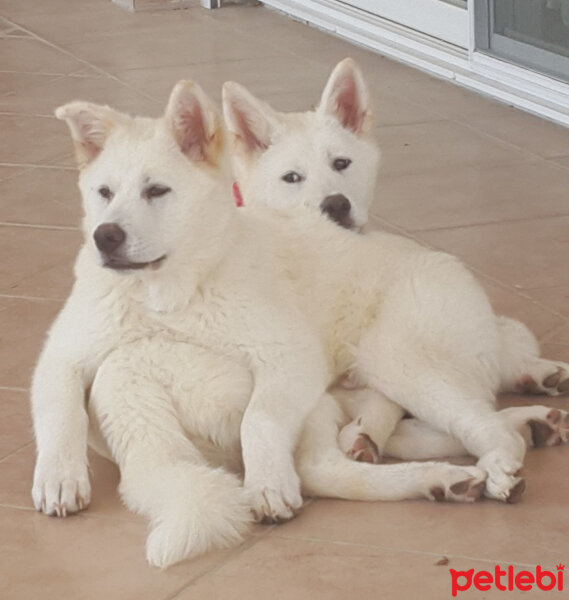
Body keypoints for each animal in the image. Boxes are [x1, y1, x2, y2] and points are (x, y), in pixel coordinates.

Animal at [31, 68, 568, 568]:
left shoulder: (290, 358)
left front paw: (268, 483)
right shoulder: (60, 358)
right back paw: (493, 443)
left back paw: (501, 455)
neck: (166, 294)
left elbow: (262, 419)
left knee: (465, 419)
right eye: (103, 192)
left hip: (393, 356)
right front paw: (59, 476)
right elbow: (59, 410)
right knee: (383, 439)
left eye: (157, 191)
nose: (106, 237)